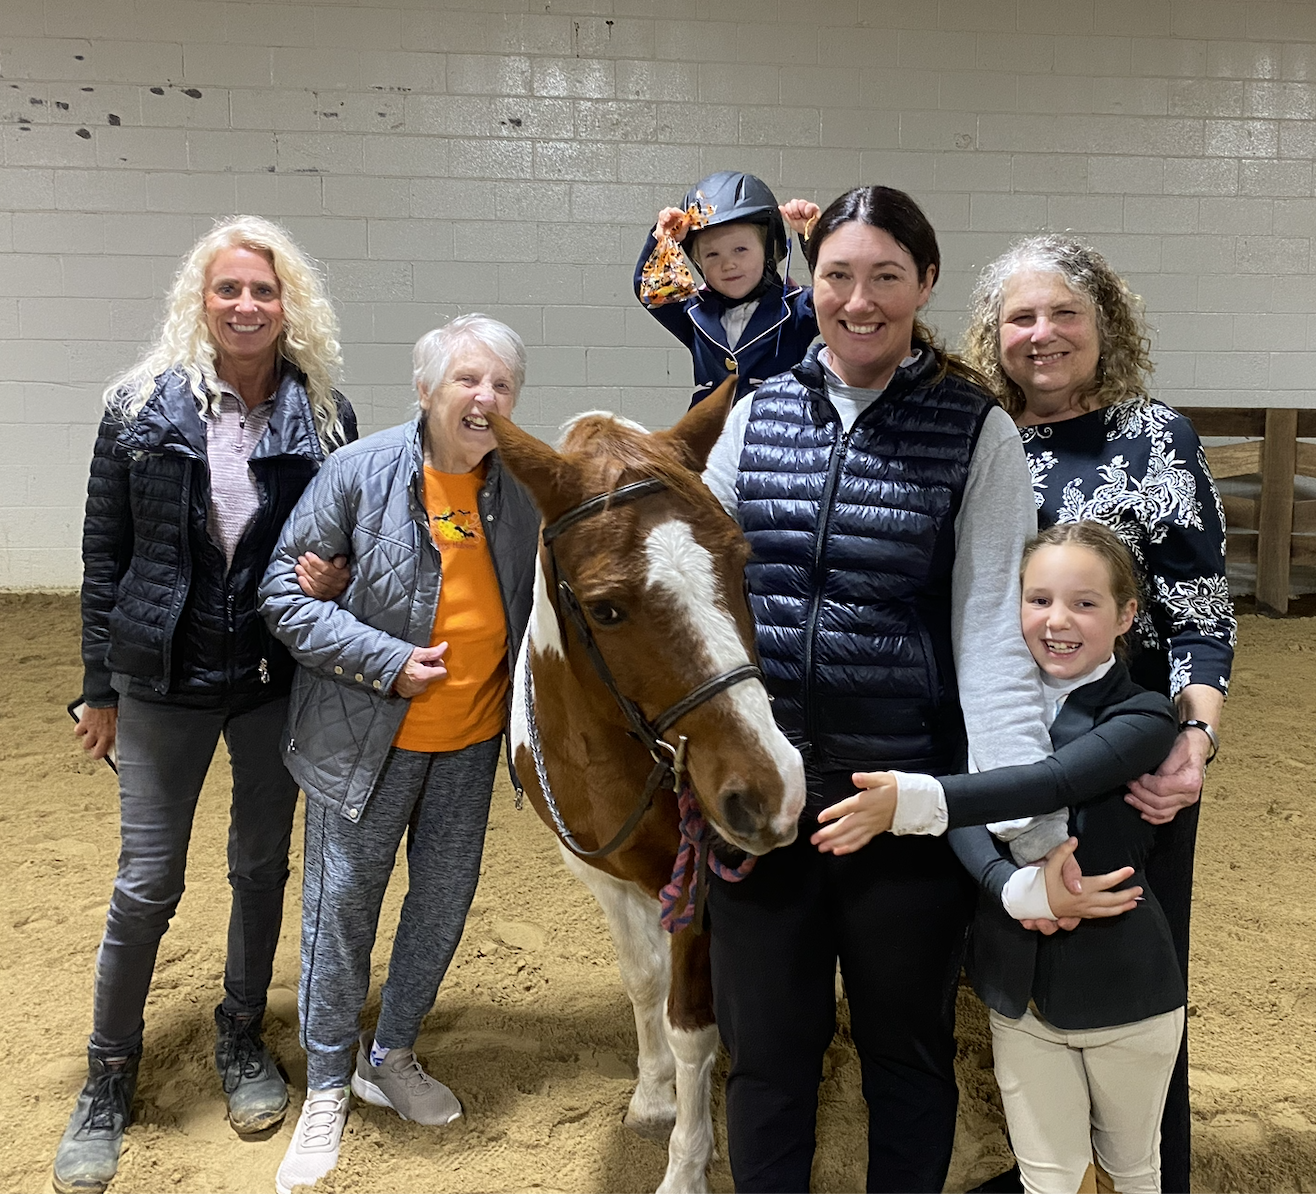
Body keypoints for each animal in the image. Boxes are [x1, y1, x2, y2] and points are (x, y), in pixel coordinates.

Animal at [489, 379, 806, 1193]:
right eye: (605, 608)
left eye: (741, 559)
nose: (771, 791)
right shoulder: (600, 873)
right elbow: (643, 982)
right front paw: (653, 1093)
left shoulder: (699, 882)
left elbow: (691, 1023)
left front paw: (686, 1164)